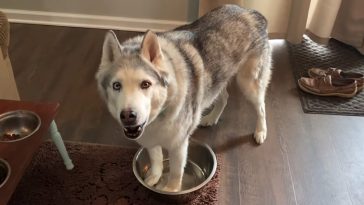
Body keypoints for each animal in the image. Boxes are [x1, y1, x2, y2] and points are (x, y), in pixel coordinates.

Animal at [95, 4, 272, 191]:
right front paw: (154, 177)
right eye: (116, 86)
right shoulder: (150, 139)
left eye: (145, 84)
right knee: (224, 97)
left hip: (249, 83)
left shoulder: (178, 145)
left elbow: (175, 172)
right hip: (217, 80)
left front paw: (170, 189)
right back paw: (212, 118)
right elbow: (156, 158)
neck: (160, 113)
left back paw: (260, 131)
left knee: (261, 107)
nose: (128, 116)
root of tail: (251, 12)